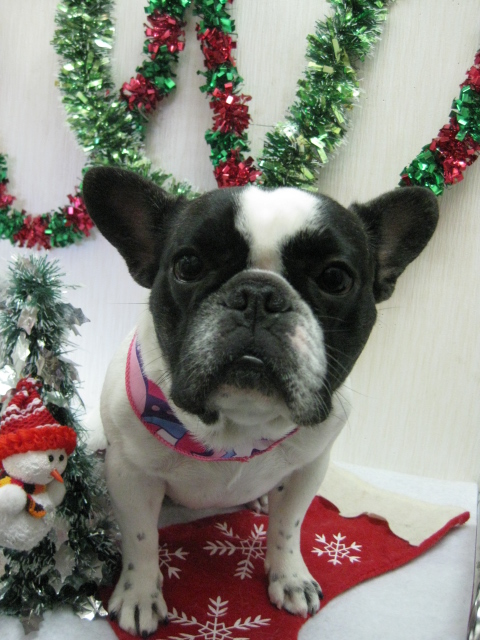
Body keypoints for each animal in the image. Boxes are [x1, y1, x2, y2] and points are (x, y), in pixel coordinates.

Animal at [82, 167, 438, 636]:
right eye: (188, 266)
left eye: (335, 278)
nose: (257, 295)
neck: (238, 426)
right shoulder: (130, 475)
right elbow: (142, 539)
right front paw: (140, 594)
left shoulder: (309, 468)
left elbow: (289, 526)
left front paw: (289, 578)